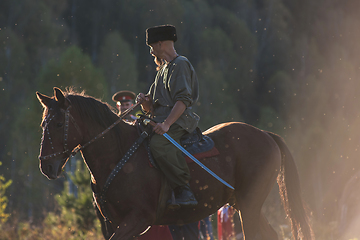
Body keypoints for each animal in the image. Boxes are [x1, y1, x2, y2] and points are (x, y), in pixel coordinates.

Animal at [35, 87, 312, 240]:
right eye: (43, 124)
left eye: (58, 124)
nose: (46, 167)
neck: (119, 153)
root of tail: (266, 135)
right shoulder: (113, 222)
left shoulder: (138, 219)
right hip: (243, 204)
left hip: (250, 204)